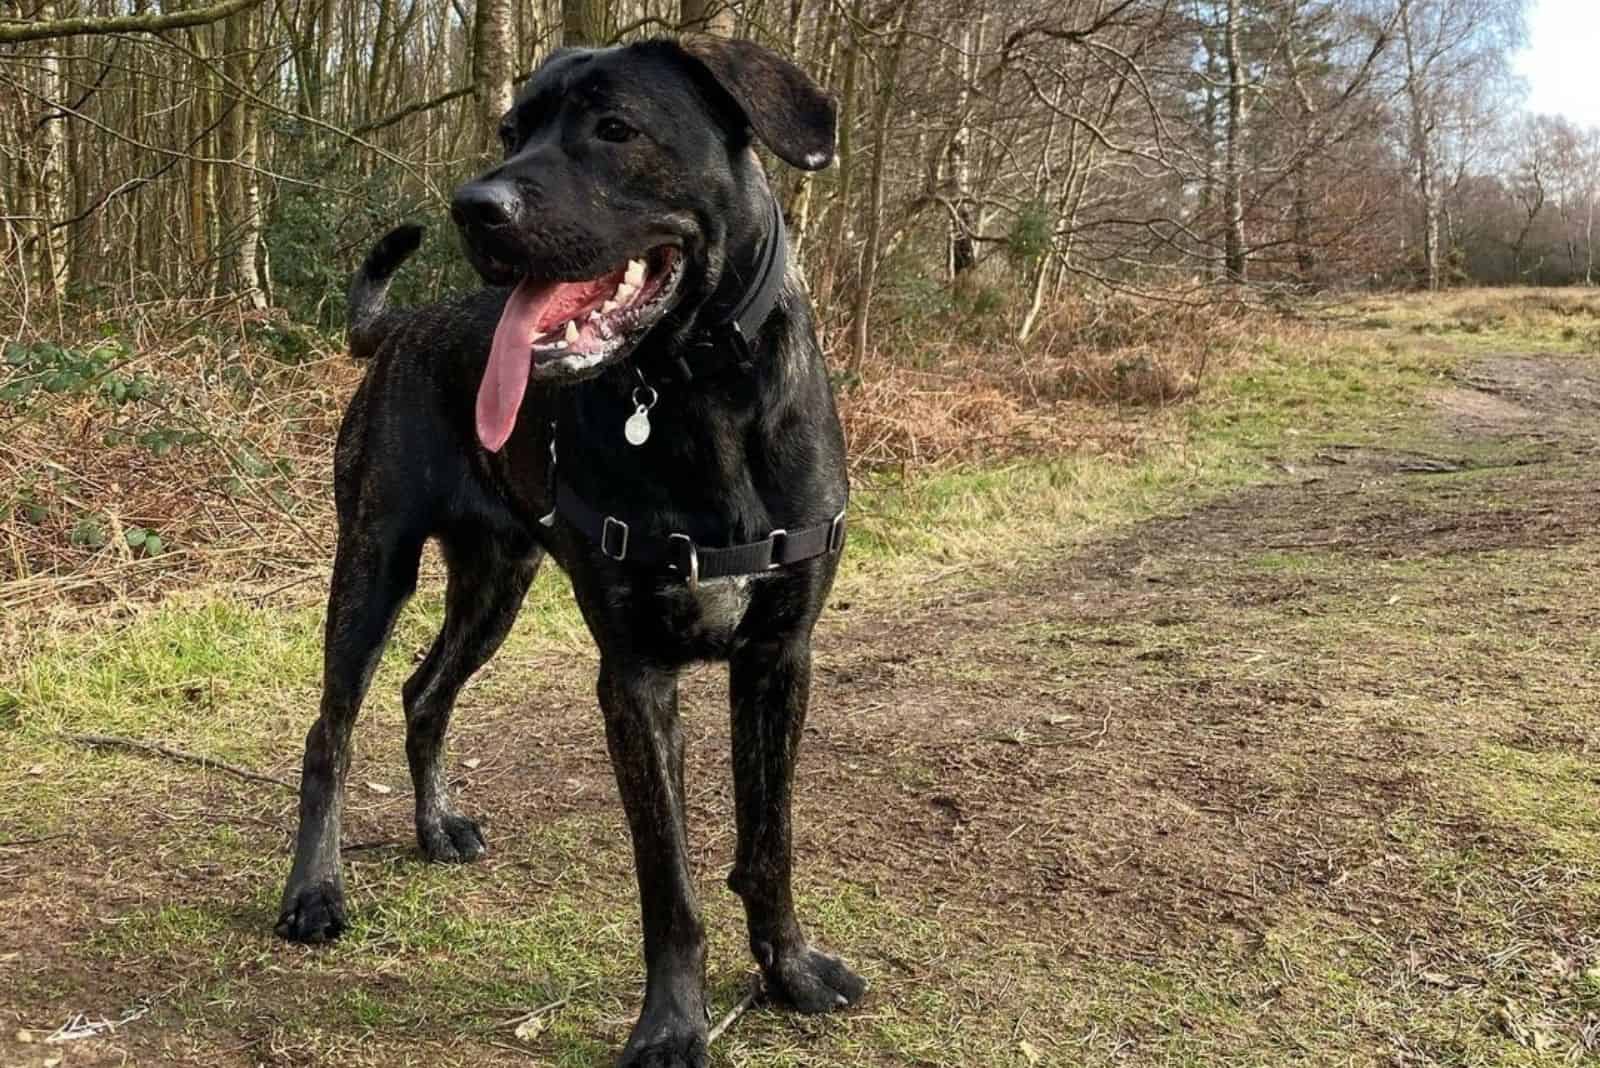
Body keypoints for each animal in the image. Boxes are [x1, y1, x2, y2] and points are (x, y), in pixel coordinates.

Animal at [281, 33, 870, 1068]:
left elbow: (769, 843)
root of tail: (402, 326)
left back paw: (436, 829)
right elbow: (668, 881)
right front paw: (672, 1026)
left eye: (616, 127)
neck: (701, 395)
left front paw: (790, 972)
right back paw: (315, 891)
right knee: (332, 730)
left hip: (495, 585)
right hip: (373, 564)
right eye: (511, 131)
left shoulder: (779, 656)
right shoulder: (636, 676)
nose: (474, 206)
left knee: (424, 692)